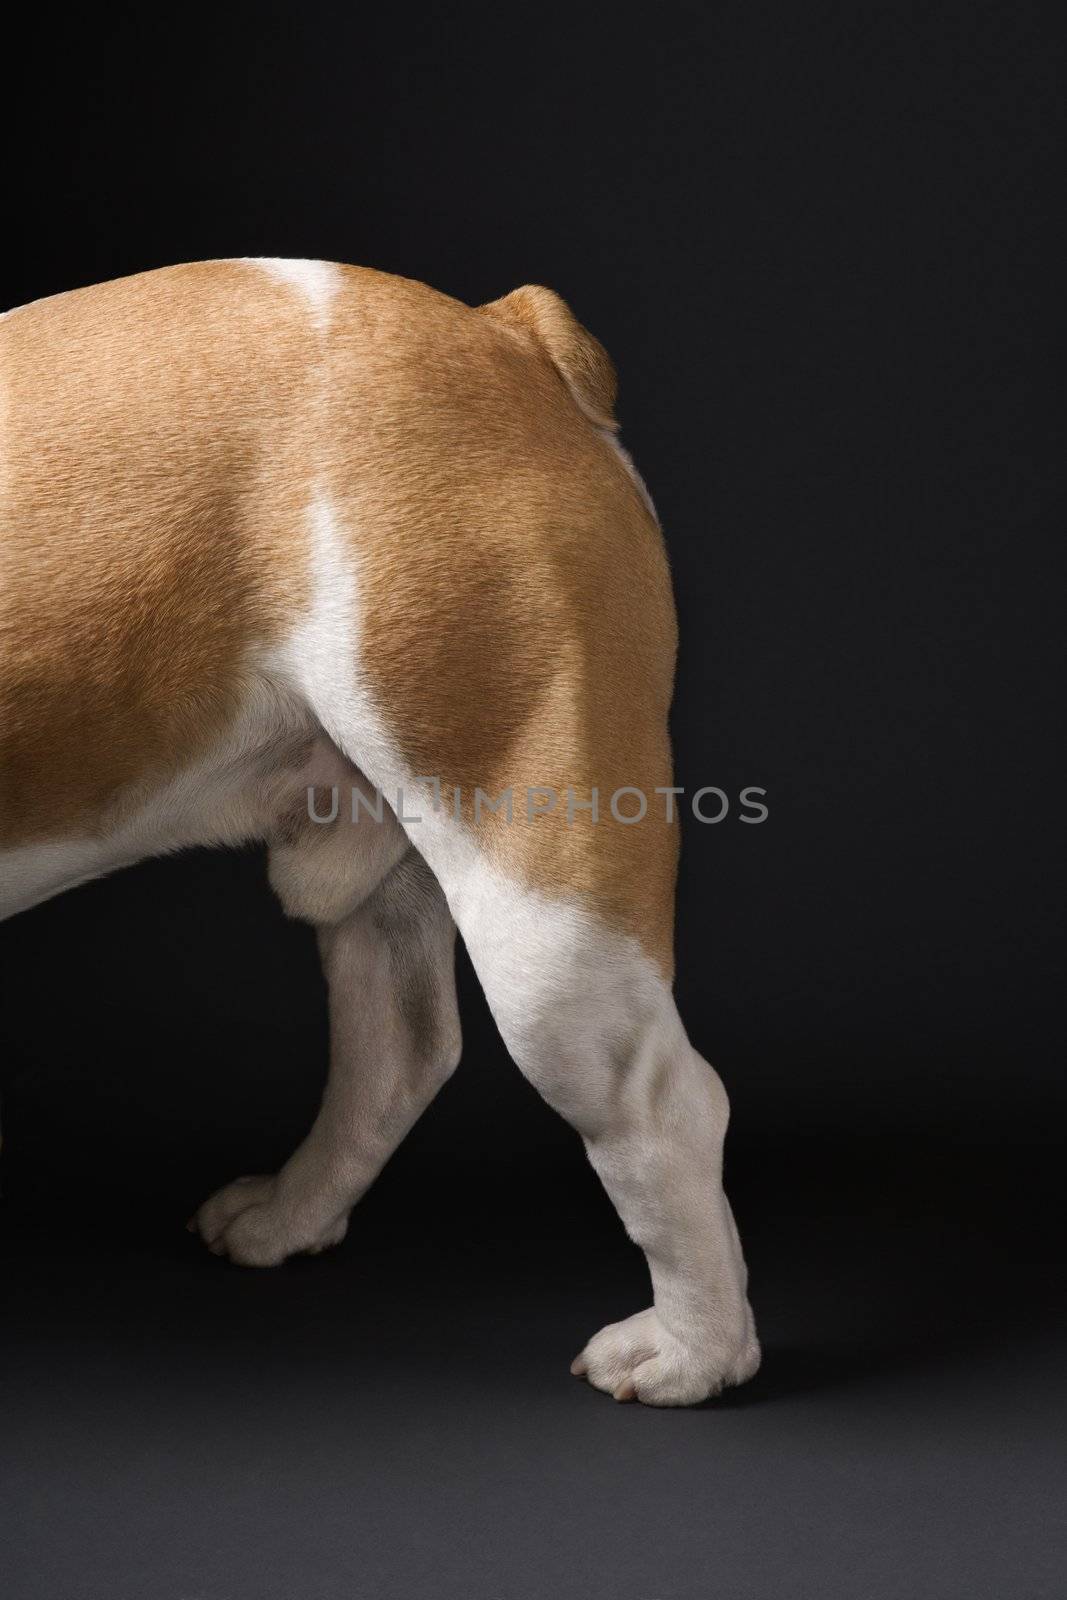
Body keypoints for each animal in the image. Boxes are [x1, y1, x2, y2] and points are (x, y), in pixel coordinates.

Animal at [0, 262, 758, 1401]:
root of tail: (506, 332)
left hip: (535, 868)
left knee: (658, 1102)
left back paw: (690, 1352)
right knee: (398, 1045)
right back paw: (290, 1214)